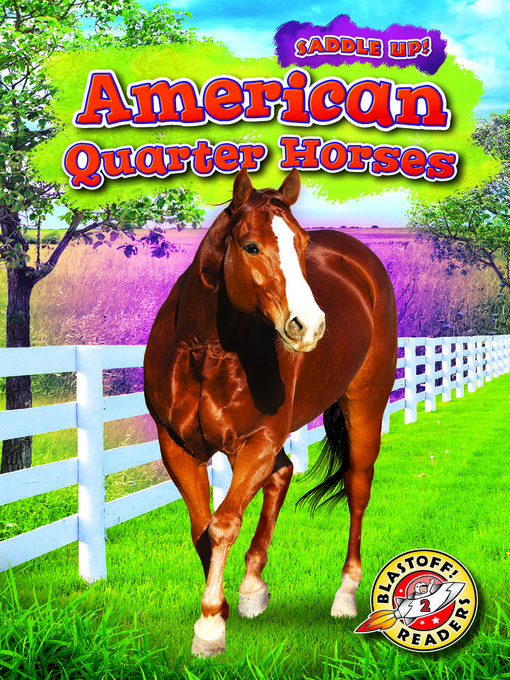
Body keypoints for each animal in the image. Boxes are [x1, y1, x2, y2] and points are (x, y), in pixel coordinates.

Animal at [144, 168, 398, 656]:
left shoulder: (257, 441)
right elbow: (202, 529)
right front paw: (224, 608)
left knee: (357, 490)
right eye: (250, 246)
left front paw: (209, 626)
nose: (309, 326)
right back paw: (253, 587)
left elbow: (223, 524)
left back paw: (345, 596)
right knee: (282, 473)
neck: (206, 351)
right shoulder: (178, 446)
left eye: (301, 243)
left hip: (365, 408)